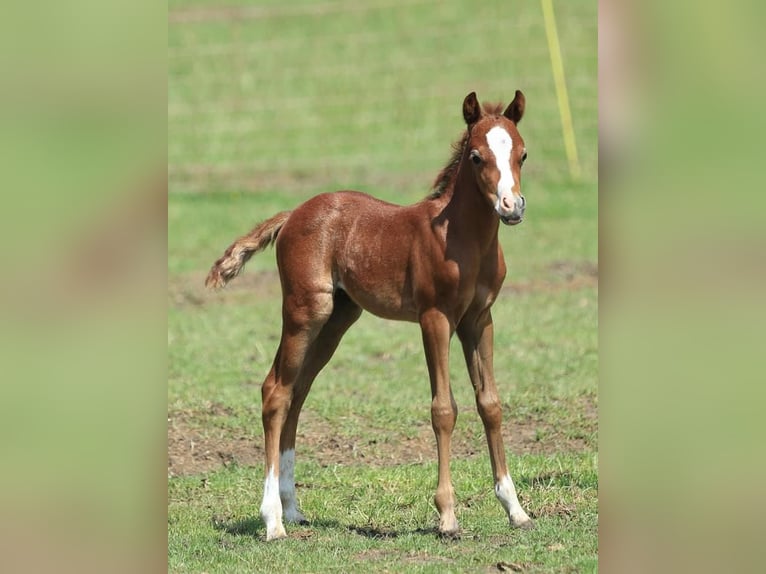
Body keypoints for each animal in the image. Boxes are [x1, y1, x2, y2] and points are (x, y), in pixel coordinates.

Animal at [207, 90, 536, 540]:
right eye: (475, 156)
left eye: (522, 154)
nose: (511, 206)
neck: (462, 239)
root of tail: (292, 214)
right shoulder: (435, 318)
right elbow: (443, 409)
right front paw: (447, 516)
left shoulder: (479, 320)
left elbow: (490, 404)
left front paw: (515, 508)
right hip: (306, 311)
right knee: (275, 391)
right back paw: (273, 520)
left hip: (338, 319)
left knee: (297, 392)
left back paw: (293, 509)